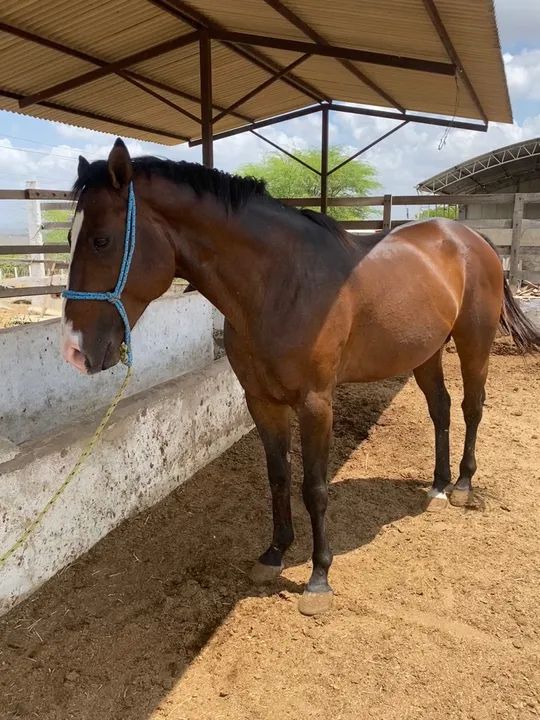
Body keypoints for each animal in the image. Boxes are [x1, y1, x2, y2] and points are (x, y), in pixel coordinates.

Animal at [62, 138, 540, 616]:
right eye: (69, 238)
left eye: (102, 240)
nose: (74, 350)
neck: (279, 284)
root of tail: (471, 238)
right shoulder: (261, 401)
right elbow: (278, 476)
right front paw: (274, 553)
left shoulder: (316, 403)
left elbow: (314, 487)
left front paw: (318, 578)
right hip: (425, 352)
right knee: (440, 408)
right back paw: (437, 487)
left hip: (474, 342)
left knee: (472, 407)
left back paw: (461, 485)